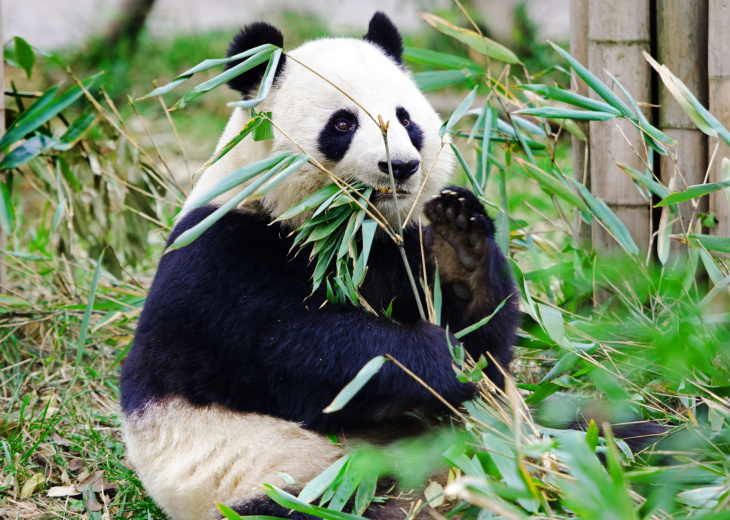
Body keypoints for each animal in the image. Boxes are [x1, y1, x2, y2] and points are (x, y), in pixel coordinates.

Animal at [119, 12, 516, 520]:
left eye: (405, 118)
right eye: (343, 123)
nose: (401, 166)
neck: (344, 231)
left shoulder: (397, 245)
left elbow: (488, 349)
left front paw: (460, 246)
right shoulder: (220, 254)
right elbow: (291, 350)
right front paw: (435, 357)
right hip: (278, 478)